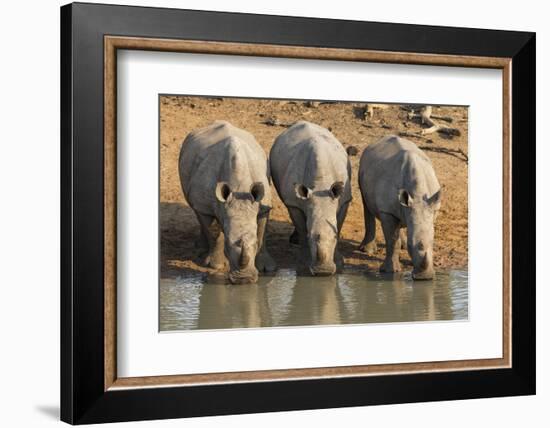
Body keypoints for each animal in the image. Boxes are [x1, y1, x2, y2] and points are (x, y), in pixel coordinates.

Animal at [180, 120, 276, 284]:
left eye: (254, 244)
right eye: (227, 245)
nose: (244, 280)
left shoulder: (263, 204)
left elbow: (261, 232)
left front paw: (266, 267)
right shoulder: (206, 204)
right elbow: (213, 231)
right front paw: (216, 265)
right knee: (197, 209)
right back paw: (200, 249)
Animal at [272, 121, 354, 274]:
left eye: (334, 238)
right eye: (310, 236)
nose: (323, 271)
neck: (320, 186)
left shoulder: (344, 200)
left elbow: (338, 226)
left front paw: (339, 264)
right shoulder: (294, 203)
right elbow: (302, 229)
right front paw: (303, 265)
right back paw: (294, 241)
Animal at [358, 135, 444, 280]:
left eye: (433, 243)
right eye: (411, 245)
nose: (425, 277)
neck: (418, 195)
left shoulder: (431, 207)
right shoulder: (387, 211)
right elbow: (392, 241)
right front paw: (390, 271)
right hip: (362, 167)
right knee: (366, 204)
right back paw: (367, 249)